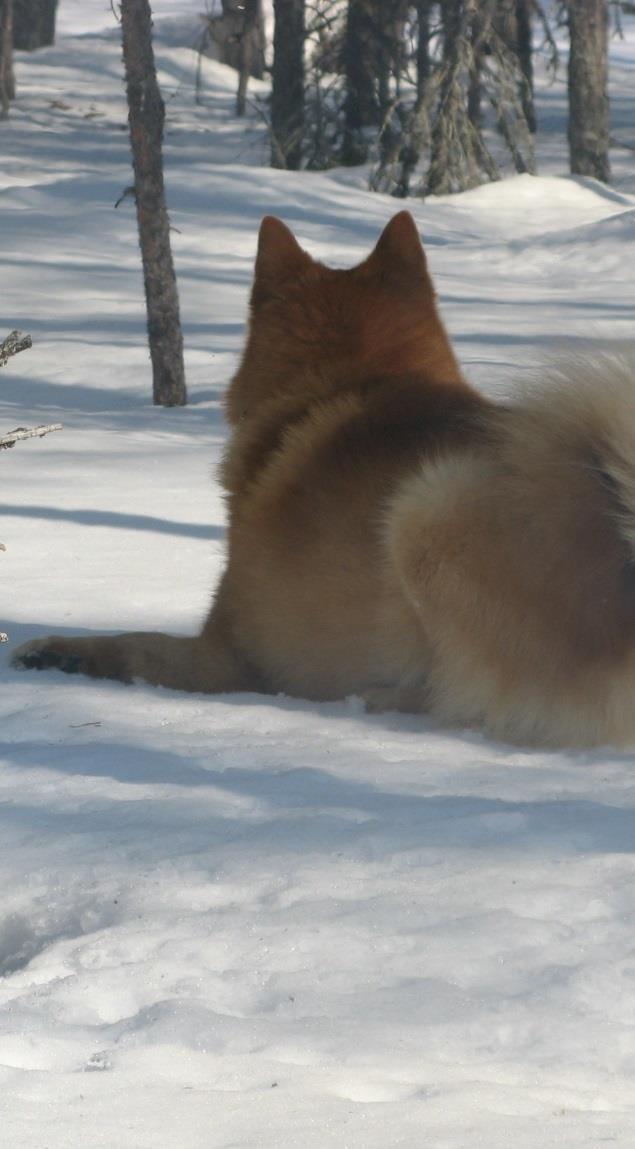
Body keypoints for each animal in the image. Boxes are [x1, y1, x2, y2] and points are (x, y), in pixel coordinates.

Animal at [11, 211, 635, 749]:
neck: (350, 380)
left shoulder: (225, 658)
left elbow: (134, 646)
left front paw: (58, 652)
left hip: (426, 507)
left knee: (467, 700)